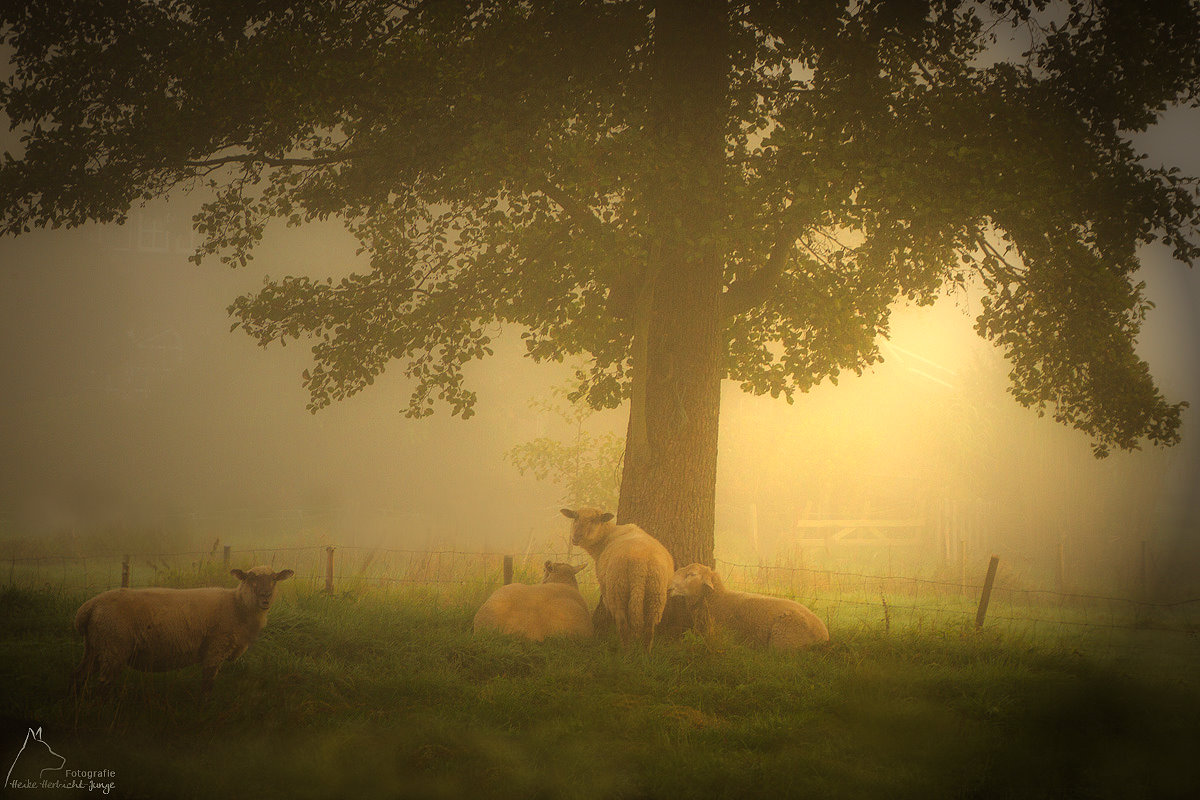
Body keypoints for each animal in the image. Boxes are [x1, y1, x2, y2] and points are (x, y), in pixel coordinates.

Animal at [72, 563, 292, 695]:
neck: (237, 605)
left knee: (80, 675)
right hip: (114, 648)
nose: (265, 597)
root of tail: (89, 607)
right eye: (250, 579)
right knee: (103, 684)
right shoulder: (215, 649)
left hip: (95, 646)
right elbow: (207, 686)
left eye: (274, 579)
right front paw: (203, 712)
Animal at [556, 510, 672, 652]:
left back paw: (625, 652)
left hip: (618, 589)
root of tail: (640, 564)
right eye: (575, 517)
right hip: (656, 592)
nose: (576, 538)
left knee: (623, 624)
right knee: (650, 627)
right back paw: (646, 652)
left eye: (594, 520)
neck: (605, 538)